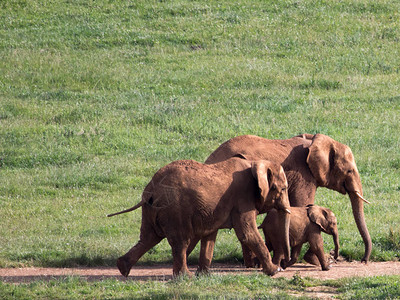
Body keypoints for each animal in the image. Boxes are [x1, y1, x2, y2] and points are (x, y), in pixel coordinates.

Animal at [109, 158, 290, 278]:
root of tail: (151, 189)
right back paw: (185, 276)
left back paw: (123, 269)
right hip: (174, 209)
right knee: (180, 241)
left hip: (153, 209)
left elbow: (210, 236)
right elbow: (247, 234)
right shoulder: (243, 198)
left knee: (149, 237)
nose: (285, 265)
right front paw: (274, 271)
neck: (255, 163)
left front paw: (204, 275)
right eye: (282, 189)